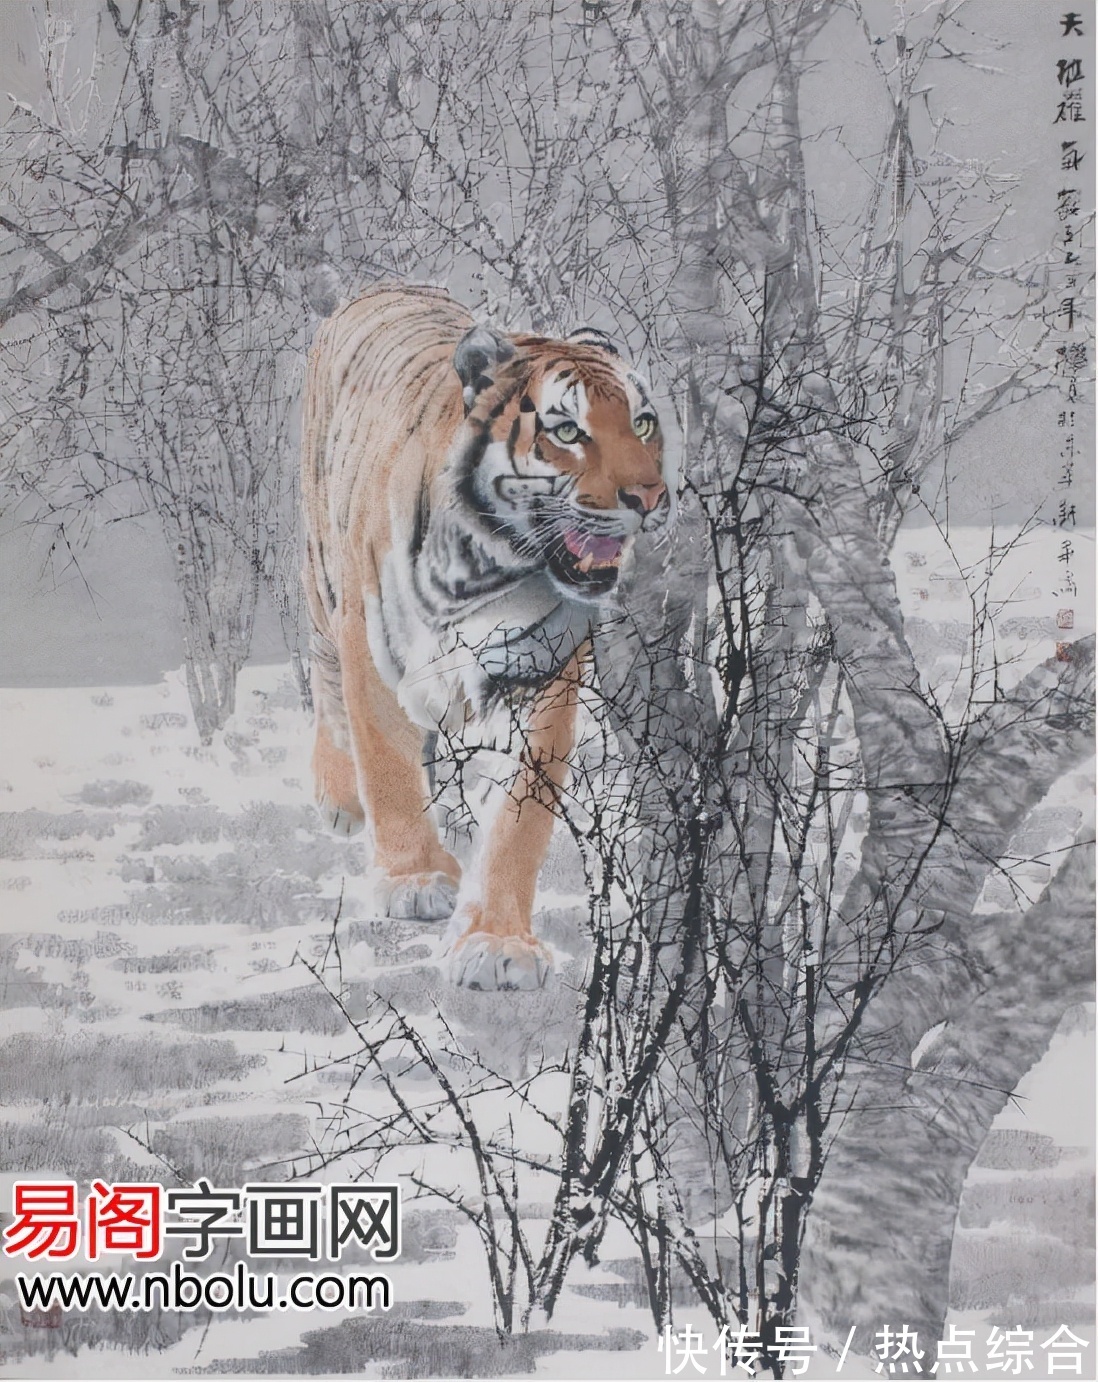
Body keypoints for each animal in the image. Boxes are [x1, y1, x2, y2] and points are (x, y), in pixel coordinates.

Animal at [300, 284, 670, 991]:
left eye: (642, 423)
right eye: (566, 430)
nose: (650, 496)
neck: (483, 572)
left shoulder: (543, 679)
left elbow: (518, 820)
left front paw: (498, 944)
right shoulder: (370, 649)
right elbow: (386, 764)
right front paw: (414, 880)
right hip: (323, 581)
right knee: (328, 690)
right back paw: (340, 802)